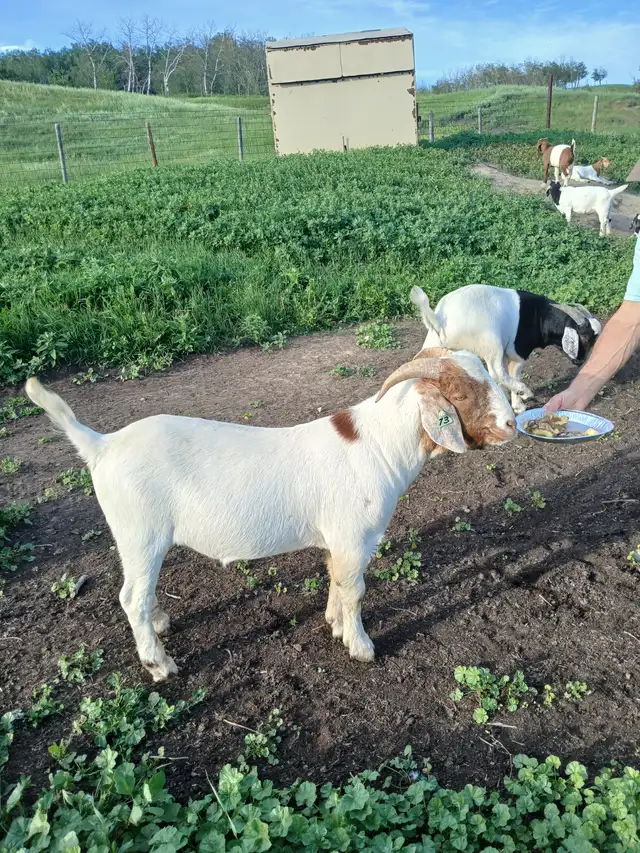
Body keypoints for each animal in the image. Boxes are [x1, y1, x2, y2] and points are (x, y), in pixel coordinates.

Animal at [25, 359, 515, 681]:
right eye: (463, 394)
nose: (512, 425)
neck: (378, 445)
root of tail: (101, 445)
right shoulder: (354, 537)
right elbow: (355, 590)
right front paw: (360, 647)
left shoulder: (337, 540)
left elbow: (335, 580)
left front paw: (335, 625)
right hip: (140, 532)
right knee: (131, 598)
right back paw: (160, 664)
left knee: (140, 595)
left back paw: (161, 623)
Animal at [410, 284, 601, 414]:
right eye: (584, 337)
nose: (581, 361)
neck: (541, 316)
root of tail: (438, 319)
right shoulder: (517, 352)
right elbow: (513, 373)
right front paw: (519, 404)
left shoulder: (506, 350)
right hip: (491, 341)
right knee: (496, 372)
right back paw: (525, 392)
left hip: (434, 343)